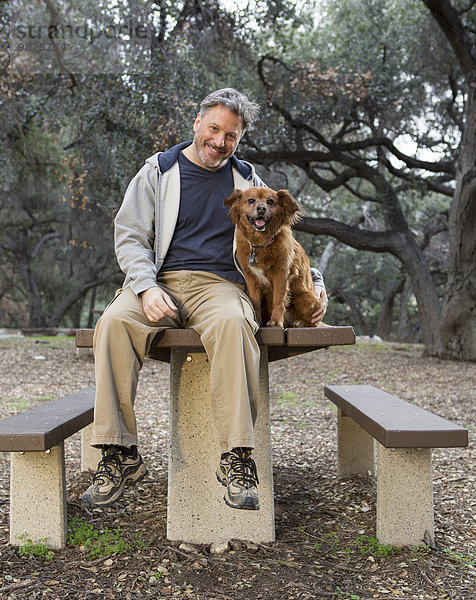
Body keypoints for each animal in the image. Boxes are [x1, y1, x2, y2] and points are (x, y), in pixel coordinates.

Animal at [225, 188, 322, 328]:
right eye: (251, 200)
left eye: (270, 201)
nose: (261, 208)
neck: (261, 244)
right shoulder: (250, 277)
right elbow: (255, 302)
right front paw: (257, 321)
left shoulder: (281, 274)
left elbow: (278, 299)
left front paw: (276, 321)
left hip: (305, 298)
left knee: (313, 322)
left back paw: (300, 322)